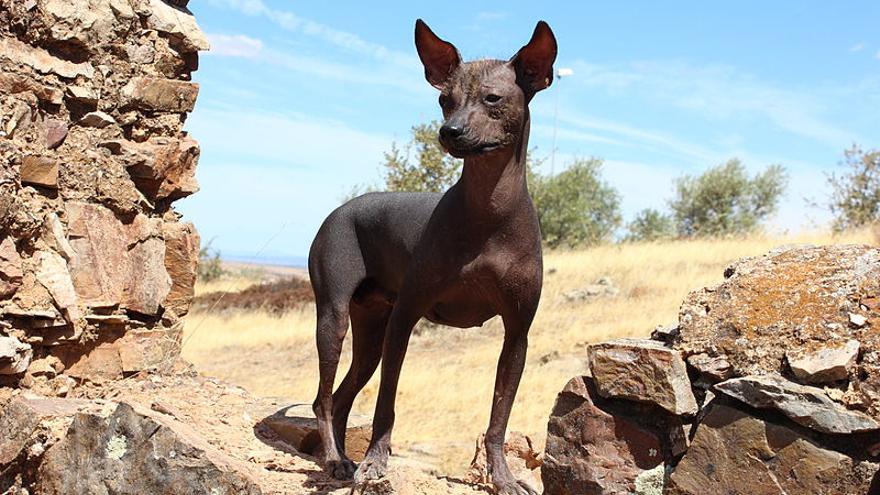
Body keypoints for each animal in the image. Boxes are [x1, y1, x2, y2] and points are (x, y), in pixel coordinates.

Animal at [310, 19, 556, 495]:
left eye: (492, 99)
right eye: (445, 99)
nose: (450, 132)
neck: (488, 211)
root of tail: (342, 209)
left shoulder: (517, 333)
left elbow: (499, 419)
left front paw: (502, 477)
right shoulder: (405, 318)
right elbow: (385, 405)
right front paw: (375, 463)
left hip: (371, 333)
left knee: (342, 396)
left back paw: (339, 457)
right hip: (335, 318)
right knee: (324, 399)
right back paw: (334, 460)